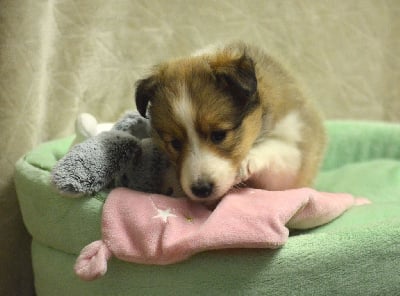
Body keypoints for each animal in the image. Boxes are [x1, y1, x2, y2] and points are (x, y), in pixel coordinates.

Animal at [134, 41, 324, 202]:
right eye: (174, 143)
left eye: (219, 135)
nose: (201, 189)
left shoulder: (296, 155)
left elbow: (276, 149)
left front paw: (247, 162)